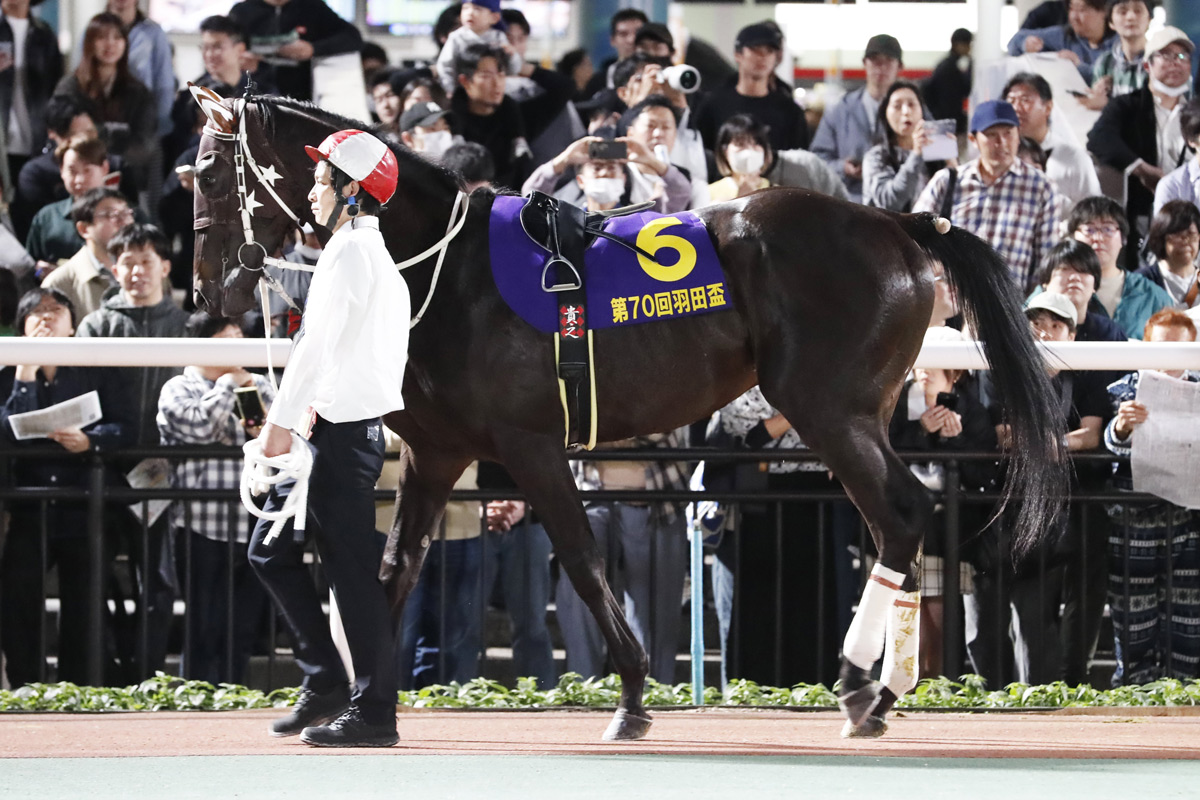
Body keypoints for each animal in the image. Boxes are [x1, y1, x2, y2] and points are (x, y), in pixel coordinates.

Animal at [189, 89, 1067, 740]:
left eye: (209, 175)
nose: (211, 288)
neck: (441, 267)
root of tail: (898, 222)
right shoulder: (439, 454)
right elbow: (394, 568)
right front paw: (359, 709)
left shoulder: (530, 443)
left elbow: (581, 559)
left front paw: (635, 697)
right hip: (862, 412)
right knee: (902, 517)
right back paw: (882, 687)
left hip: (828, 409)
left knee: (901, 512)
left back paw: (858, 682)